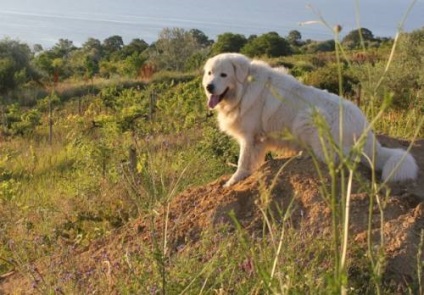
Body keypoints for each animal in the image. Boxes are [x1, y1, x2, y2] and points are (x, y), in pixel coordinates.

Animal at [202, 53, 418, 187]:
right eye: (210, 73)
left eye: (224, 74)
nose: (209, 87)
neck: (244, 88)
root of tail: (367, 133)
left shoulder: (250, 136)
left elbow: (242, 161)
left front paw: (233, 181)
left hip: (308, 118)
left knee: (340, 159)